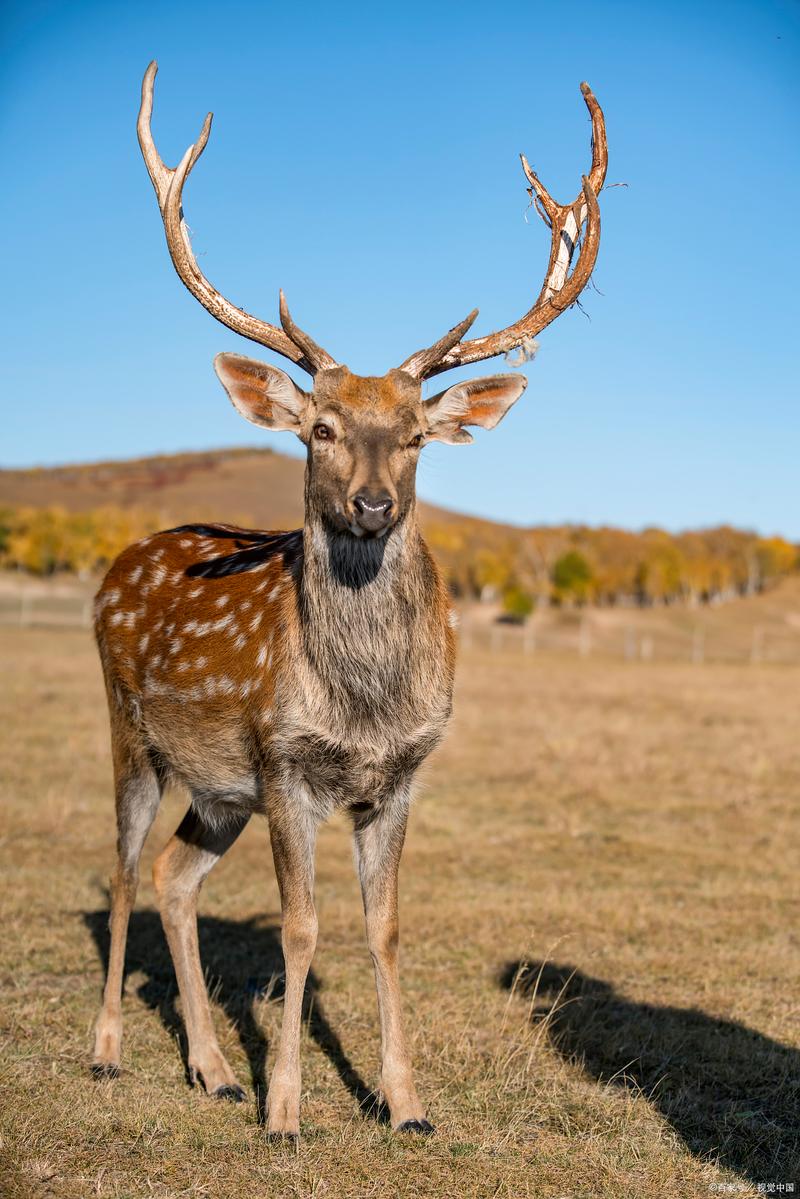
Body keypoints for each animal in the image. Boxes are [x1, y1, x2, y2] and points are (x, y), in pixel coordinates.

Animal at [91, 61, 607, 1138]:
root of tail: (119, 561)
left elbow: (385, 927)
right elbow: (299, 928)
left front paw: (405, 1101)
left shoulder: (400, 775)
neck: (363, 702)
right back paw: (112, 1049)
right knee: (120, 870)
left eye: (413, 434)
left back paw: (211, 1066)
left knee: (171, 875)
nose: (371, 502)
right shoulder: (285, 763)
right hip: (133, 731)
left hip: (217, 789)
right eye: (320, 427)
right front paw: (287, 1108)